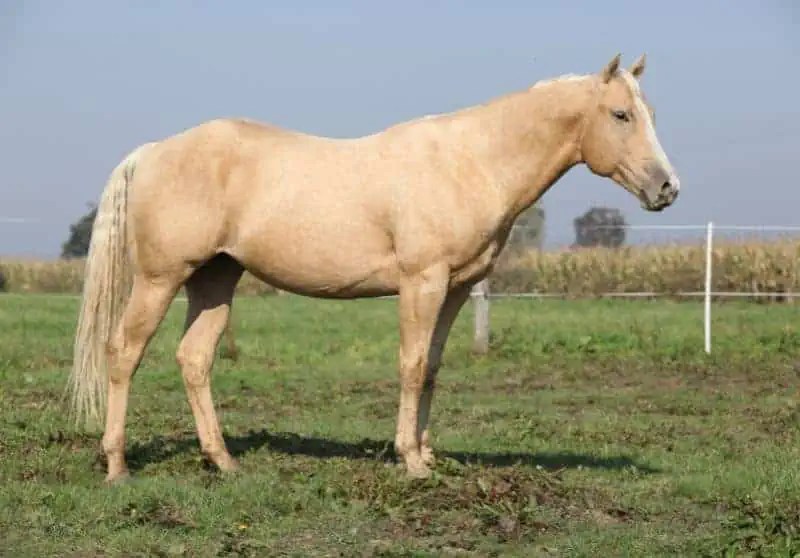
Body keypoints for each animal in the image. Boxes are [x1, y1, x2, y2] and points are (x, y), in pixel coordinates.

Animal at [68, 53, 680, 483]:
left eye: (651, 114)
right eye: (620, 114)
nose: (667, 188)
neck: (472, 161)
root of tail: (152, 151)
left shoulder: (455, 289)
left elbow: (431, 367)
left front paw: (429, 453)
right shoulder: (421, 281)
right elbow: (410, 365)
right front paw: (410, 460)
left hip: (216, 278)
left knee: (194, 359)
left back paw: (223, 462)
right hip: (160, 279)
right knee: (124, 353)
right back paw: (117, 465)